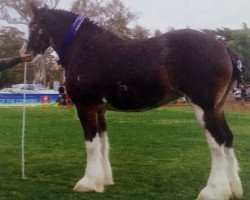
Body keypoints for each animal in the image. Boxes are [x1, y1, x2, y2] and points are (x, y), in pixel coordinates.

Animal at [27, 5, 244, 200]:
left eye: (34, 25)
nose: (26, 52)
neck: (85, 48)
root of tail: (224, 48)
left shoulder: (85, 106)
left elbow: (91, 143)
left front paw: (88, 182)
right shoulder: (100, 109)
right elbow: (103, 143)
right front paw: (104, 180)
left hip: (203, 107)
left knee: (217, 142)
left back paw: (213, 191)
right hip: (217, 108)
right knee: (228, 139)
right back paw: (233, 189)